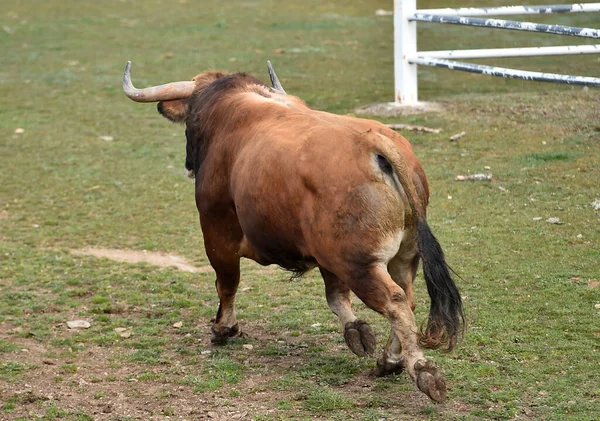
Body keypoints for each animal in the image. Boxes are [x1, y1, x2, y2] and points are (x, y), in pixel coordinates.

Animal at [122, 61, 464, 400]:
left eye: (190, 123)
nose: (188, 164)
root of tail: (376, 144)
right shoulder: (324, 256)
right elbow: (336, 297)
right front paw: (356, 331)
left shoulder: (217, 234)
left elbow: (227, 284)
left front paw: (223, 327)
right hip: (401, 256)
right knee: (407, 297)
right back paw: (389, 360)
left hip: (358, 264)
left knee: (395, 302)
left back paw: (421, 369)